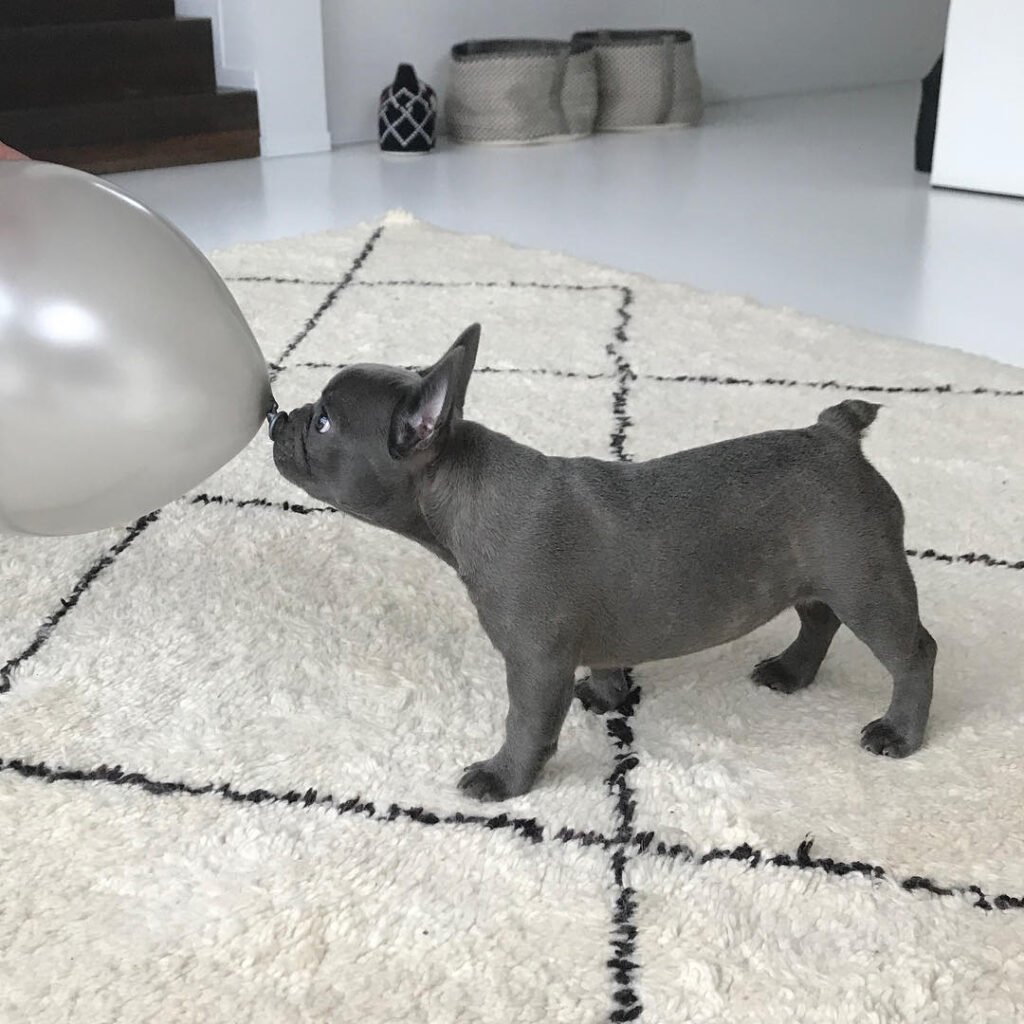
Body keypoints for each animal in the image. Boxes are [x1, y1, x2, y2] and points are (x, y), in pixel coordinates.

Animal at [270, 321, 937, 798]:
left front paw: (504, 779)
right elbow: (608, 659)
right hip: (817, 576)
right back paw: (792, 673)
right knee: (818, 618)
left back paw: (898, 733)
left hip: (866, 582)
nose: (281, 417)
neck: (461, 485)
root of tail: (836, 435)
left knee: (912, 653)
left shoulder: (534, 662)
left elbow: (526, 725)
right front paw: (607, 692)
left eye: (324, 421)